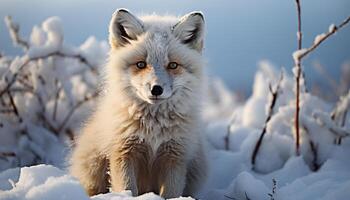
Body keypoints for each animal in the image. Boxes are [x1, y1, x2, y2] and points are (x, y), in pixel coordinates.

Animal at [70, 8, 208, 198]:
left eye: (173, 65)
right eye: (141, 64)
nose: (156, 89)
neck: (153, 129)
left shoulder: (175, 156)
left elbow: (170, 194)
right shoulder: (123, 152)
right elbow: (127, 188)